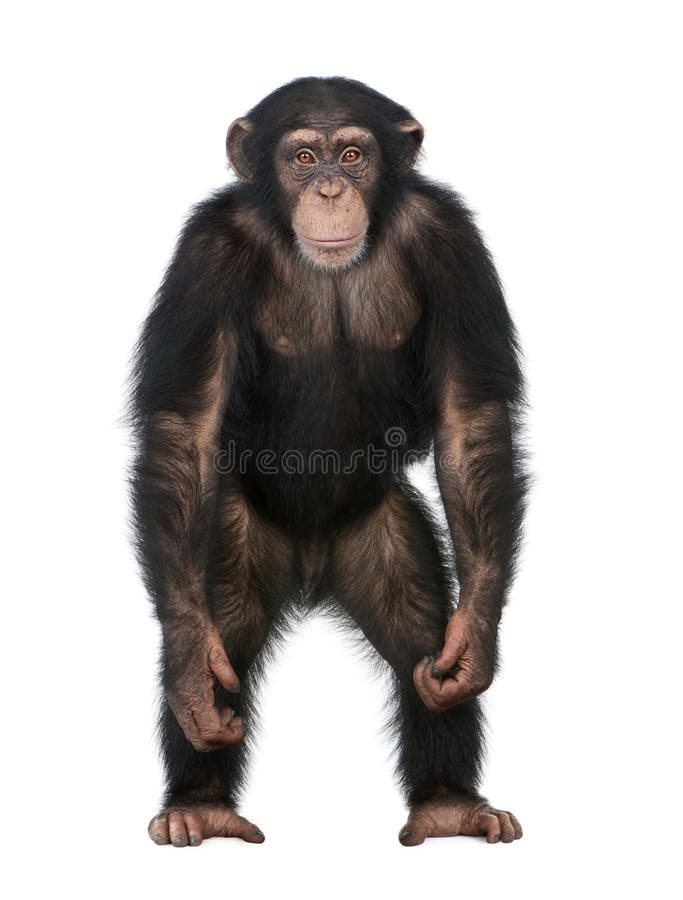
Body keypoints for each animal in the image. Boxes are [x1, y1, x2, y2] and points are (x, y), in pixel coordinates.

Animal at [131, 74, 528, 848]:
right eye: (302, 156)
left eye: (351, 153)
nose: (329, 187)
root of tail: (313, 573)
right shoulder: (205, 254)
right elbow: (185, 427)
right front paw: (190, 672)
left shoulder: (450, 239)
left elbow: (470, 417)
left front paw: (476, 641)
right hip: (236, 542)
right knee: (225, 629)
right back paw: (199, 803)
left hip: (383, 534)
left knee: (418, 638)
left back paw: (448, 802)